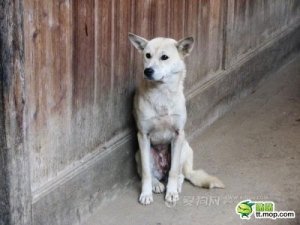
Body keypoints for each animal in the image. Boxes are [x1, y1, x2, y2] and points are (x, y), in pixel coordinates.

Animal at [127, 33, 224, 206]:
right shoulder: (143, 136)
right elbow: (146, 172)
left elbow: (173, 172)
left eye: (164, 57)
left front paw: (171, 192)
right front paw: (146, 193)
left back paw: (176, 186)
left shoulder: (179, 134)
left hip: (184, 147)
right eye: (147, 55)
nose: (147, 71)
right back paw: (156, 184)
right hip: (139, 154)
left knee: (181, 174)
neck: (162, 94)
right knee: (152, 174)